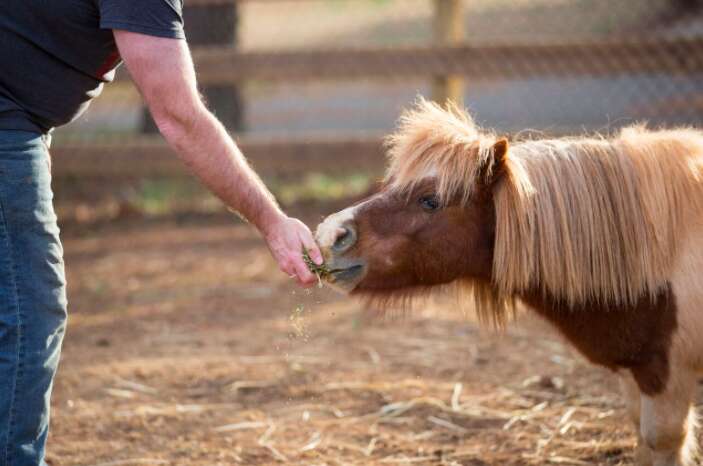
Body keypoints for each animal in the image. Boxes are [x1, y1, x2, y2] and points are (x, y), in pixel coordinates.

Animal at [318, 99, 703, 466]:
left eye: (430, 200)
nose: (330, 234)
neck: (661, 248)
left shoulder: (667, 375)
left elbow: (660, 441)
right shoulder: (635, 370)